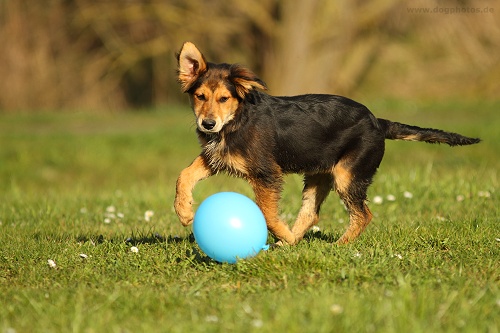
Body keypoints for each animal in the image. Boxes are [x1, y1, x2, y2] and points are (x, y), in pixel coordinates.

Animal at [173, 40, 480, 244]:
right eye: (200, 96)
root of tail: (378, 122)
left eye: (224, 98)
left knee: (363, 214)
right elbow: (184, 174)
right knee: (311, 213)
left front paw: (280, 231)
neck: (236, 120)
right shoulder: (216, 156)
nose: (207, 124)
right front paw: (184, 212)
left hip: (349, 175)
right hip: (319, 173)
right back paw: (289, 243)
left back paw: (338, 246)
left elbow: (267, 212)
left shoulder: (266, 173)